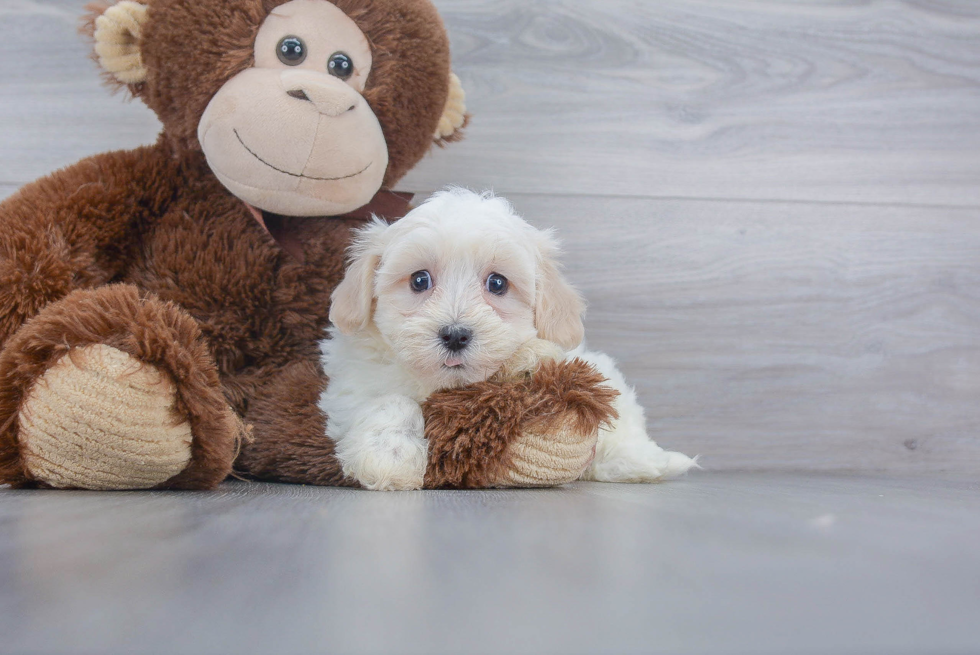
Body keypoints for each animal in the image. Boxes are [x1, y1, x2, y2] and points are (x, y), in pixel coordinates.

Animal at [318, 187, 692, 490]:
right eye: (419, 280)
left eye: (497, 283)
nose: (455, 335)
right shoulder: (351, 383)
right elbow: (390, 400)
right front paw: (389, 457)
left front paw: (529, 358)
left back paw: (641, 461)